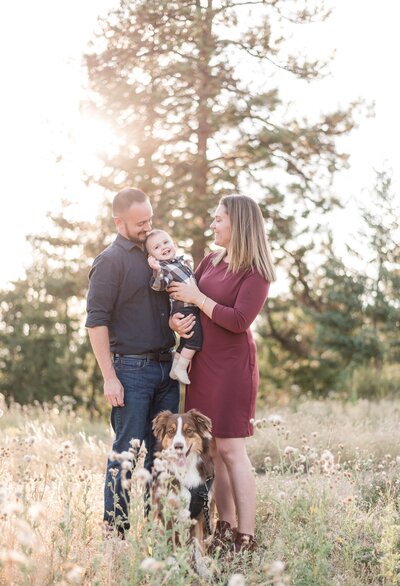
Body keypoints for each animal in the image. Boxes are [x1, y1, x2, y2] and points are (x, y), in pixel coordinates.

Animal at [150, 406, 214, 548]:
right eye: (170, 431)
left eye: (189, 431)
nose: (178, 446)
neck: (186, 468)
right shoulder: (168, 514)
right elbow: (171, 544)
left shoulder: (200, 515)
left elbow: (199, 546)